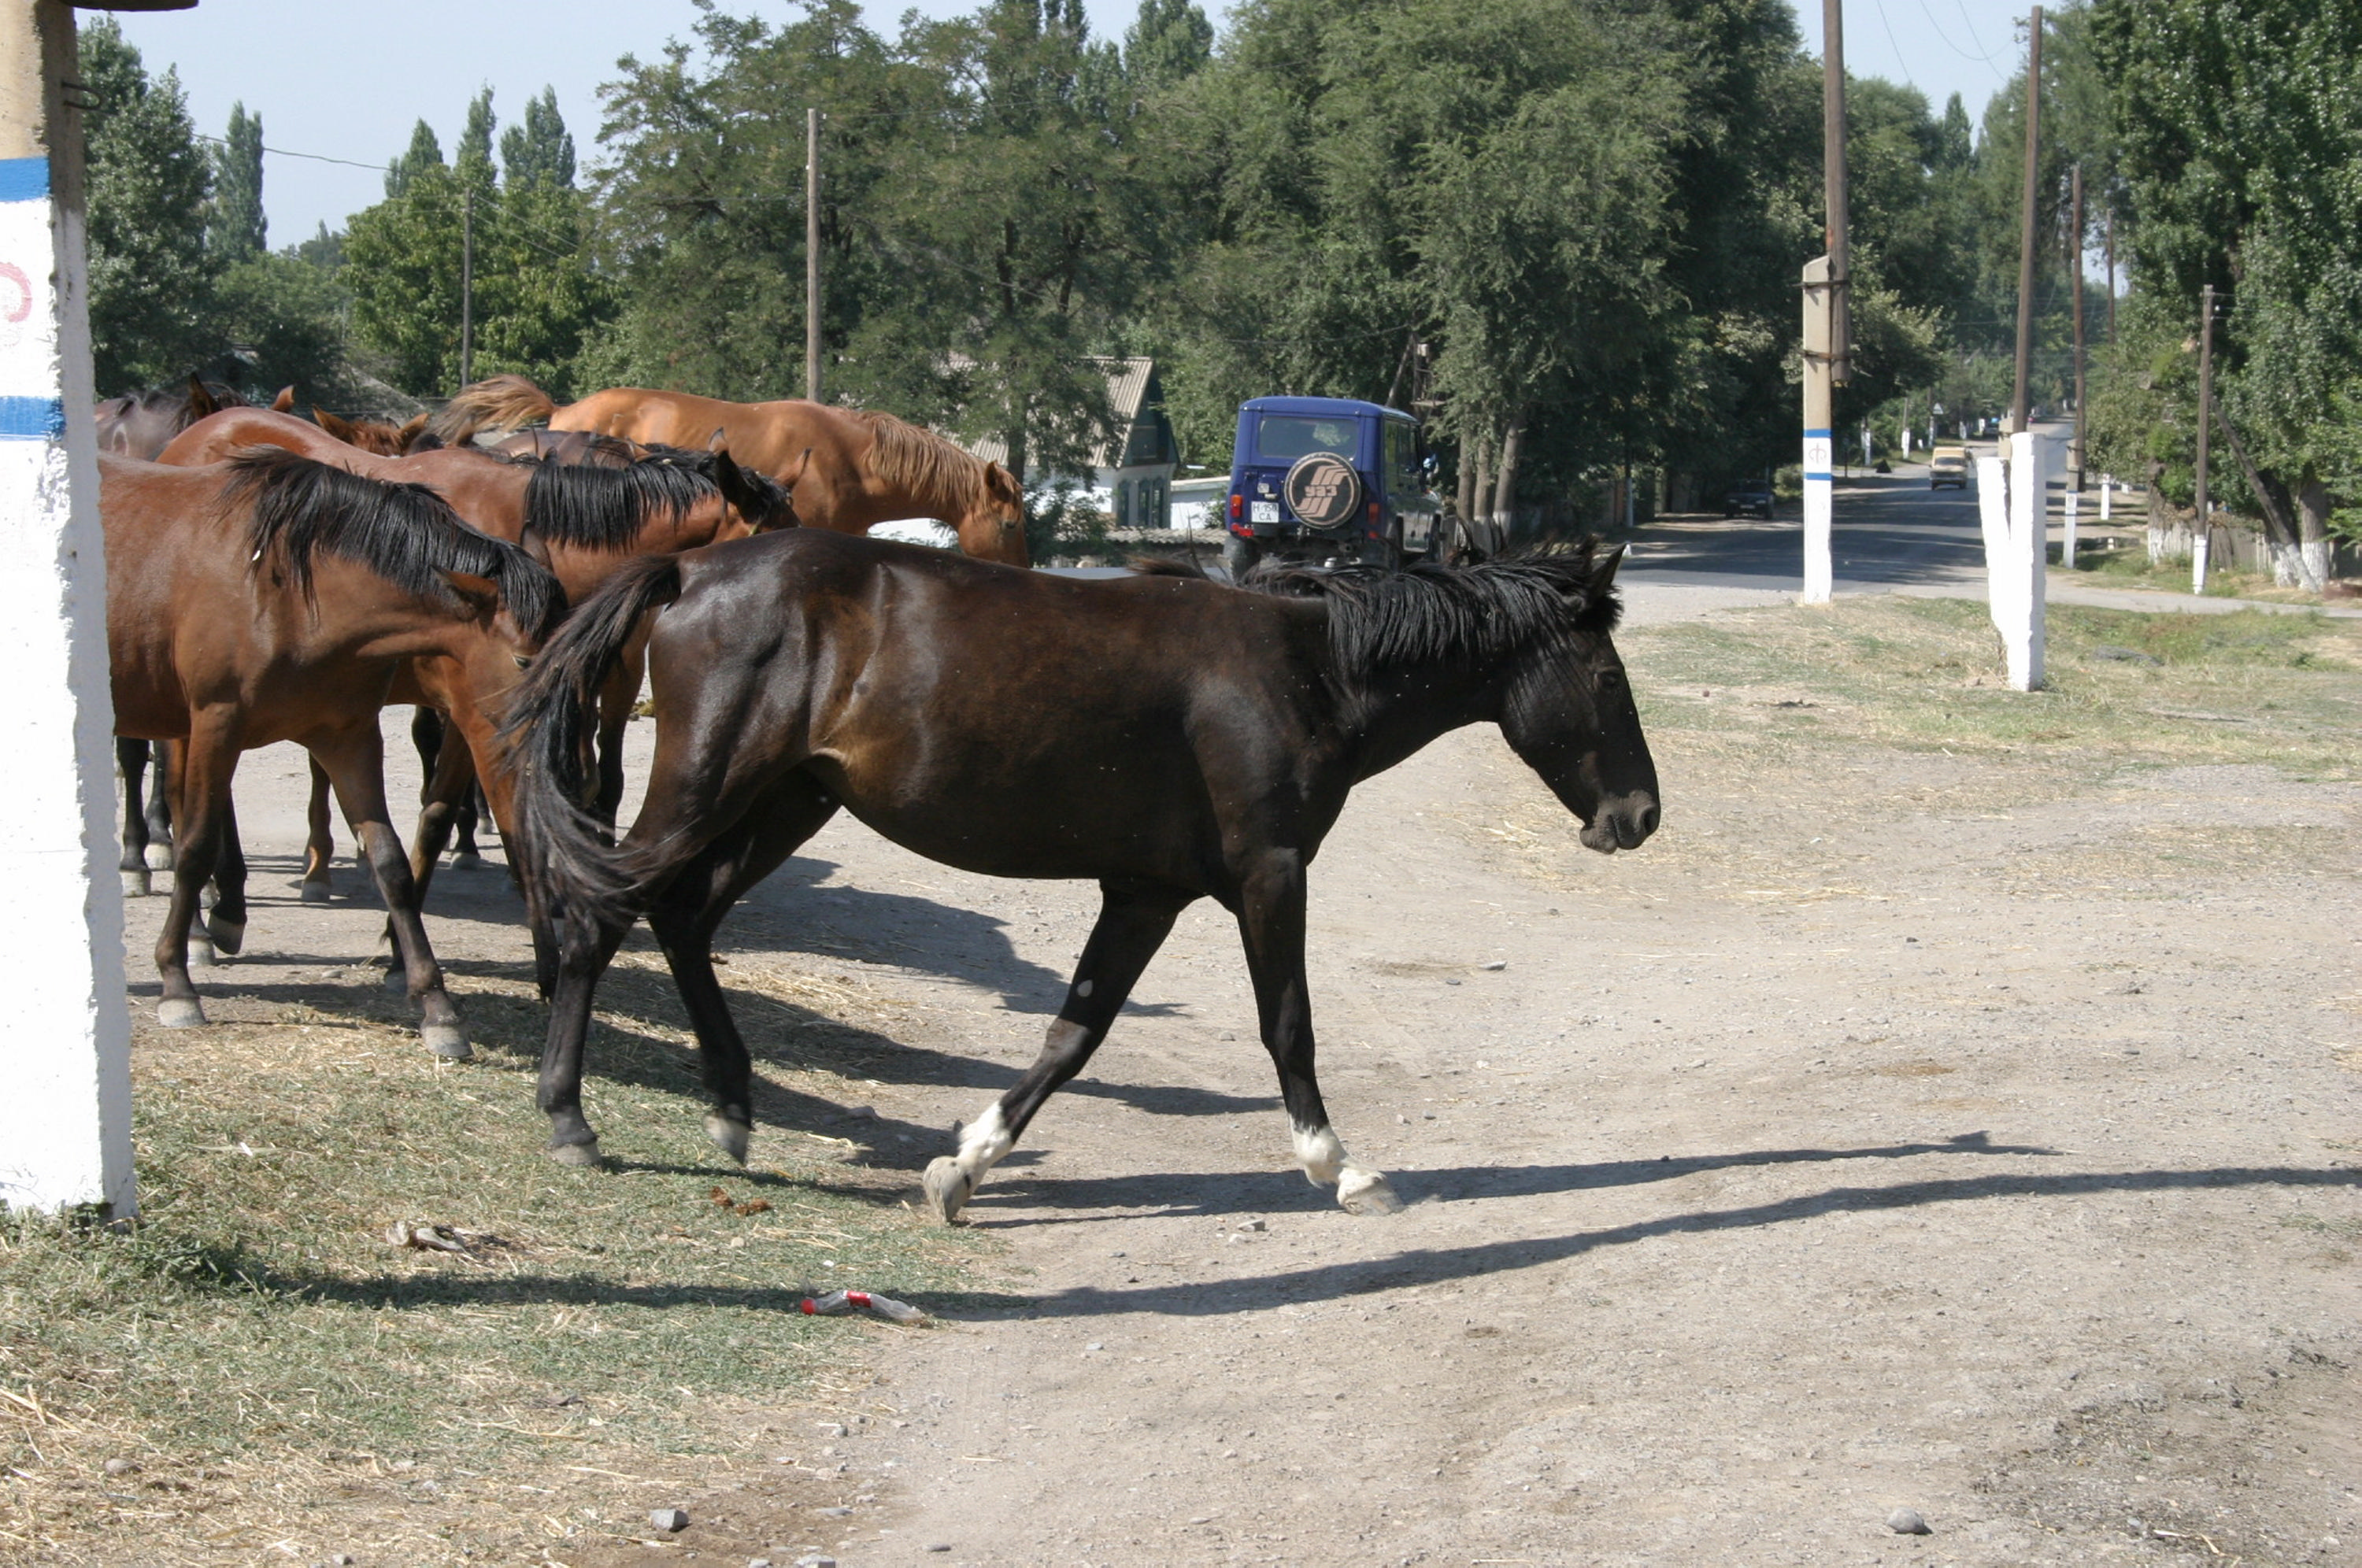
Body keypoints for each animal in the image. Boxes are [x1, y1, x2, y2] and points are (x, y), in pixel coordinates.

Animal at [106, 451, 567, 1053]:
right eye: (522, 660)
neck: (287, 592)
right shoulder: (215, 726)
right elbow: (195, 848)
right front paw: (176, 984)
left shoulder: (348, 740)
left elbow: (392, 863)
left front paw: (437, 1007)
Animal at [508, 534, 1663, 1219]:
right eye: (1609, 680)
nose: (1641, 815)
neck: (1307, 671)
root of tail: (693, 570)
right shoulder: (1270, 876)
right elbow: (1287, 1025)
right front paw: (1342, 1168)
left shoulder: (1145, 893)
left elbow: (1075, 1033)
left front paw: (965, 1164)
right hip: (710, 787)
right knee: (602, 915)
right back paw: (571, 1119)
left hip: (789, 801)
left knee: (685, 917)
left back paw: (733, 1107)